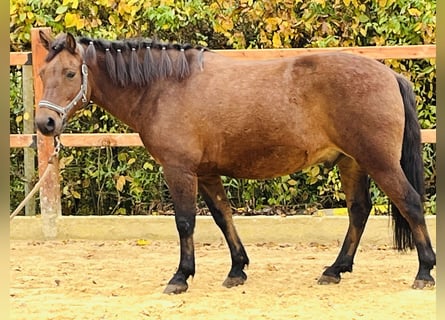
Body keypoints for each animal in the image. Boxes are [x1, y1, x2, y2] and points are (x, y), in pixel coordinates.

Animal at [34, 31, 434, 294]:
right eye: (41, 74)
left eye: (70, 73)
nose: (45, 123)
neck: (163, 87)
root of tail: (390, 74)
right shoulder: (207, 173)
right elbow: (223, 217)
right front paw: (237, 270)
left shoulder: (179, 170)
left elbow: (185, 222)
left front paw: (180, 277)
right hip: (351, 162)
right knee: (359, 210)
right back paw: (335, 270)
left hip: (379, 161)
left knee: (410, 203)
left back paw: (424, 272)